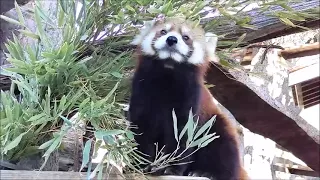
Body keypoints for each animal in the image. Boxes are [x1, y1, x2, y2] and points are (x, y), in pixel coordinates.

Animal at [129, 17, 249, 180]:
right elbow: (141, 129)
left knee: (223, 149)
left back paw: (206, 172)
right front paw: (142, 162)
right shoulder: (142, 92)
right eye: (163, 31)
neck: (168, 73)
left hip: (217, 127)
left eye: (186, 37)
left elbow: (183, 136)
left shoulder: (191, 99)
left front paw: (171, 168)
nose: (171, 39)